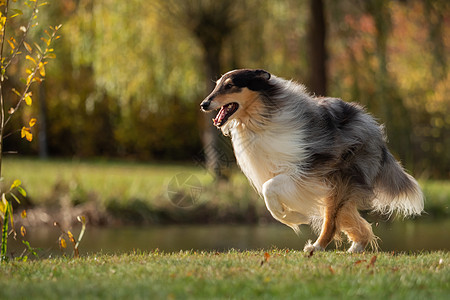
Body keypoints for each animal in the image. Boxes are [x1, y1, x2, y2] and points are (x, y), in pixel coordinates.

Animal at [201, 69, 426, 253]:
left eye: (230, 85)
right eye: (217, 84)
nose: (203, 104)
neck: (261, 118)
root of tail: (372, 125)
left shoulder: (304, 170)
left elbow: (268, 189)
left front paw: (296, 217)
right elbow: (269, 198)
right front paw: (292, 216)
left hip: (340, 180)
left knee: (332, 219)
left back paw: (317, 246)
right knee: (348, 218)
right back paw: (356, 245)